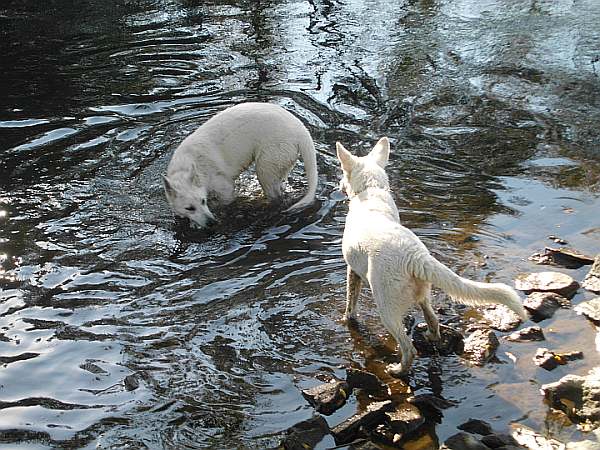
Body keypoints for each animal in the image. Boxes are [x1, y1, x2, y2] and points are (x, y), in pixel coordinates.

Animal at [159, 102, 318, 229]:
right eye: (189, 208)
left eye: (203, 201)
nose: (212, 223)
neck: (187, 165)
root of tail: (301, 129)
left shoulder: (224, 187)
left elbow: (225, 203)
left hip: (267, 163)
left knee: (275, 195)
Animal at [336, 138, 528, 376]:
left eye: (343, 174)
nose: (339, 185)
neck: (371, 191)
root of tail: (414, 256)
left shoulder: (352, 270)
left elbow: (350, 302)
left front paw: (347, 318)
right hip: (422, 292)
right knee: (433, 321)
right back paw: (429, 337)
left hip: (386, 306)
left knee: (408, 348)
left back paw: (397, 370)